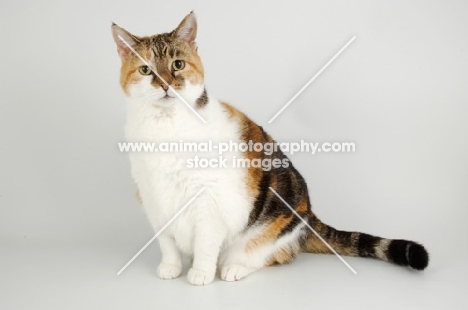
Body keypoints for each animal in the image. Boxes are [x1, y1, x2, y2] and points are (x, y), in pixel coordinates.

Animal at [111, 12, 430, 286]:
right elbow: (166, 242)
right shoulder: (154, 198)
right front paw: (171, 267)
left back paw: (234, 266)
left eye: (178, 64)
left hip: (278, 220)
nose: (165, 84)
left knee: (270, 255)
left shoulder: (209, 201)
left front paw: (200, 272)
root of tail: (310, 214)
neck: (166, 126)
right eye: (145, 70)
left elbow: (205, 242)